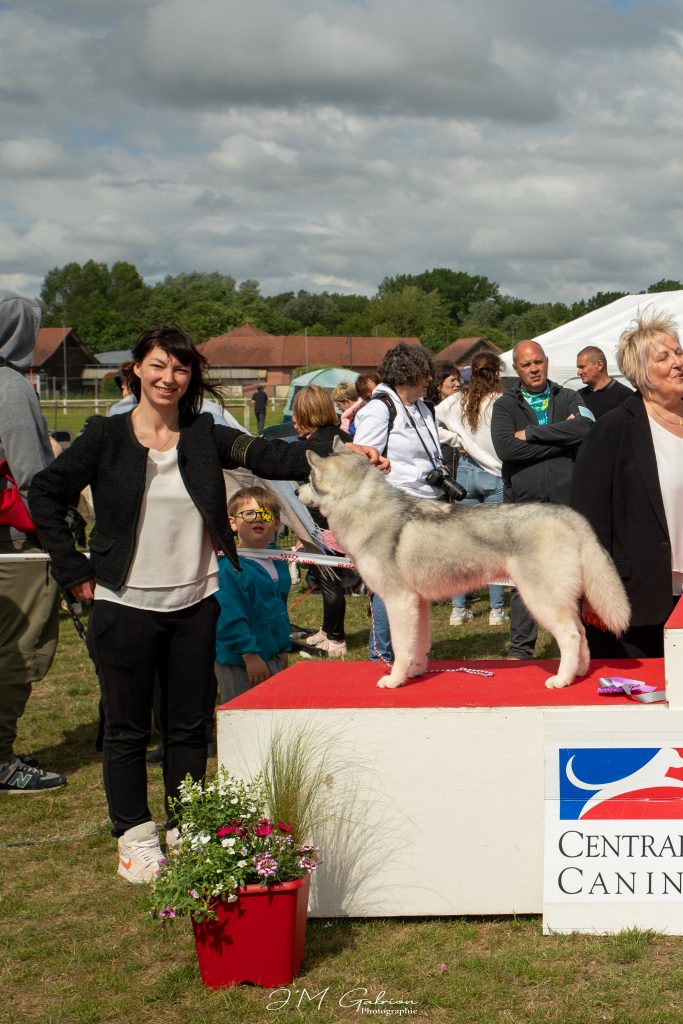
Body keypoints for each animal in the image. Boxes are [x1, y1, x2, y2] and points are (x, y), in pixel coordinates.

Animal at [298, 439, 630, 690]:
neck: (364, 506)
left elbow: (401, 647)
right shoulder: (418, 604)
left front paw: (395, 679)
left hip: (541, 600)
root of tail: (567, 514)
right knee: (582, 633)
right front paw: (416, 672)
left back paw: (561, 680)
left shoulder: (397, 601)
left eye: (309, 478)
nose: (298, 491)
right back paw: (579, 674)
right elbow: (419, 645)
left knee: (572, 636)